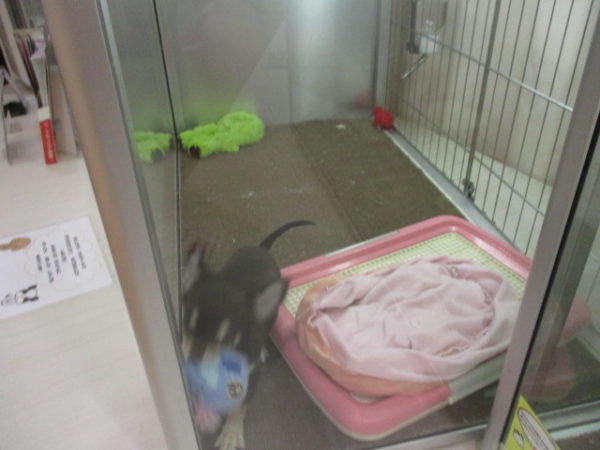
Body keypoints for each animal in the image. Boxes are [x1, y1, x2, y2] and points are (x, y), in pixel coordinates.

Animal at [182, 220, 313, 449]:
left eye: (225, 339)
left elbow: (240, 406)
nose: (194, 358)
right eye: (187, 325)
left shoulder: (252, 375)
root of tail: (261, 248)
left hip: (271, 316)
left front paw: (231, 433)